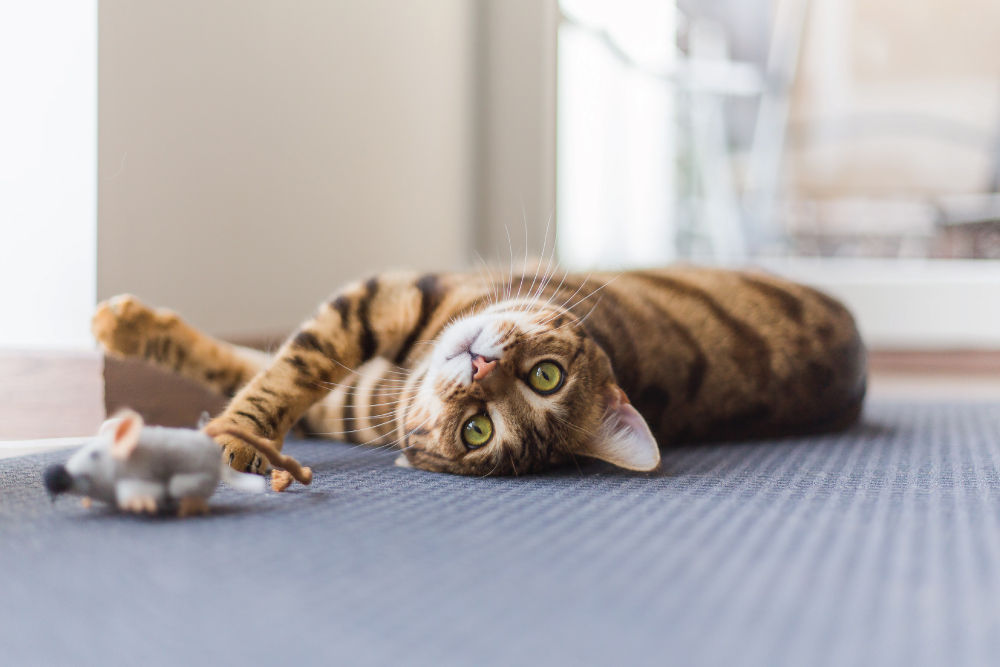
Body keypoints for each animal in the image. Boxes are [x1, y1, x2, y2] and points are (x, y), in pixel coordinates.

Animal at [90, 264, 864, 474]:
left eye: (477, 430)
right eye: (547, 375)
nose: (481, 366)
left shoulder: (352, 377)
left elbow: (270, 372)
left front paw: (231, 437)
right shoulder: (382, 301)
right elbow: (267, 363)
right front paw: (126, 325)